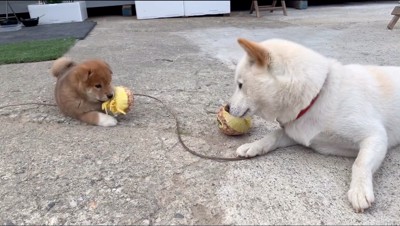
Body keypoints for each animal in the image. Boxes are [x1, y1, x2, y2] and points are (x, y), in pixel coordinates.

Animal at [228, 38, 400, 213]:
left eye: (240, 85)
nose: (226, 108)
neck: (316, 97)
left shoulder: (375, 135)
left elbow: (360, 163)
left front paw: (359, 190)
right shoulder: (297, 132)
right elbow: (273, 135)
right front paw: (254, 146)